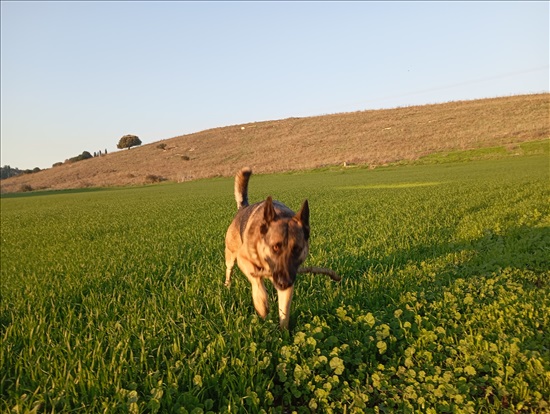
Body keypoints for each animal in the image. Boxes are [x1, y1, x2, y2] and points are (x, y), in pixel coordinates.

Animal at [224, 167, 310, 328]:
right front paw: (262, 305)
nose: (284, 282)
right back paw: (227, 285)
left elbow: (284, 312)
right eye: (275, 247)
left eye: (297, 249)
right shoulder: (243, 259)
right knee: (229, 270)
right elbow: (256, 280)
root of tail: (243, 208)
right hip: (231, 256)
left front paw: (283, 332)